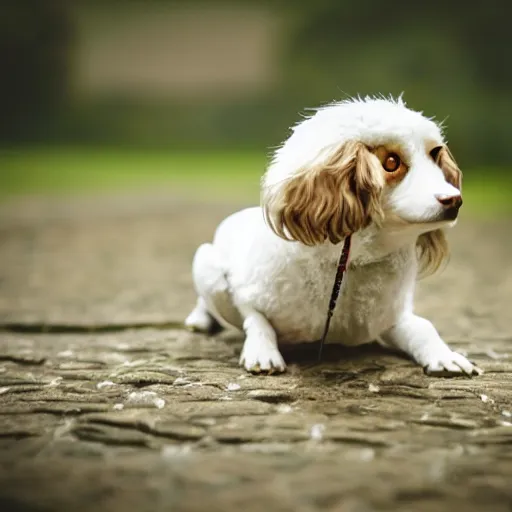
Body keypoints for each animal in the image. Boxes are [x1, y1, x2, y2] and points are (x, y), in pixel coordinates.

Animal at [186, 95, 482, 376]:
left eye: (435, 154)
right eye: (391, 162)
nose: (455, 200)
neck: (350, 264)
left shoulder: (389, 319)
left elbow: (424, 327)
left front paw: (445, 356)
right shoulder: (244, 292)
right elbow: (256, 320)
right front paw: (262, 352)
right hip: (207, 264)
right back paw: (200, 319)